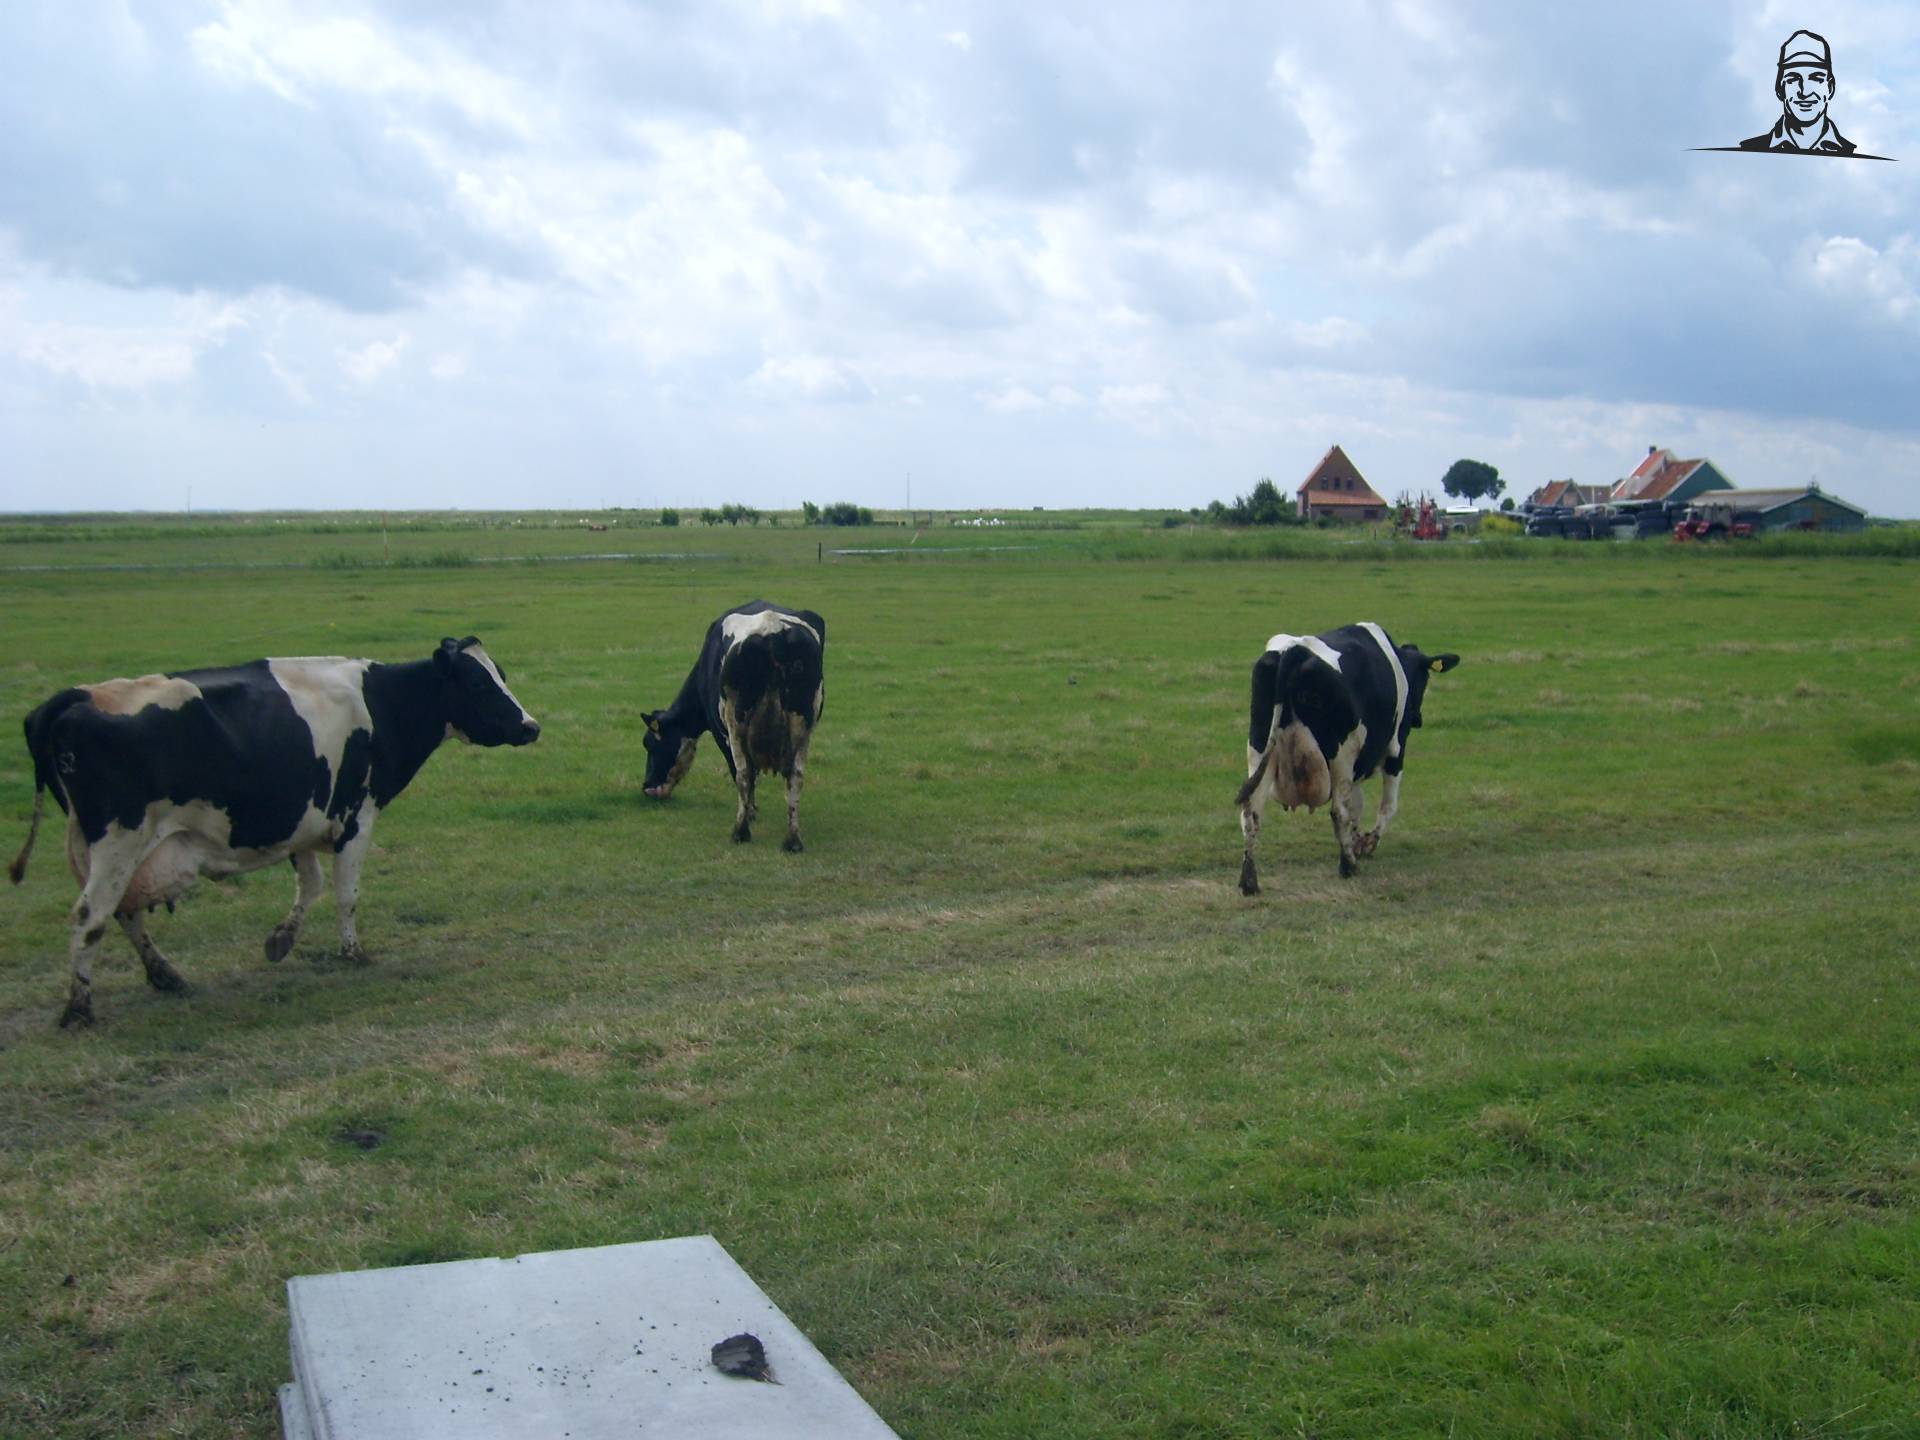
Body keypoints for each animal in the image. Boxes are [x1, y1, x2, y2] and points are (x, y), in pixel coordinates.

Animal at [10, 637, 540, 1027]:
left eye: (501, 674)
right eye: (478, 683)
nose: (531, 726)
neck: (381, 701)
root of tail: (77, 696)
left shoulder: (302, 818)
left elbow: (312, 883)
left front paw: (281, 939)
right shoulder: (357, 815)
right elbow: (346, 892)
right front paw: (352, 952)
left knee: (122, 913)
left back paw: (165, 976)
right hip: (120, 839)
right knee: (90, 917)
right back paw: (79, 1008)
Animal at [641, 600, 825, 852]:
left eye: (651, 745)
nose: (647, 787)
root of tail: (773, 629)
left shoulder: (722, 734)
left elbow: (742, 773)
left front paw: (750, 812)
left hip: (736, 723)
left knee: (743, 773)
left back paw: (740, 832)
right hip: (803, 725)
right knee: (795, 776)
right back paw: (793, 840)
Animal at [1235, 623, 1459, 893]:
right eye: (1423, 680)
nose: (1418, 719)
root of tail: (1293, 650)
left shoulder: (1356, 767)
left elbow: (1357, 804)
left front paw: (1356, 840)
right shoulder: (1395, 749)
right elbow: (1386, 806)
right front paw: (1367, 843)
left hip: (1259, 750)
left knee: (1251, 814)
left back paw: (1249, 882)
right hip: (1341, 757)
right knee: (1337, 812)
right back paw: (1348, 866)